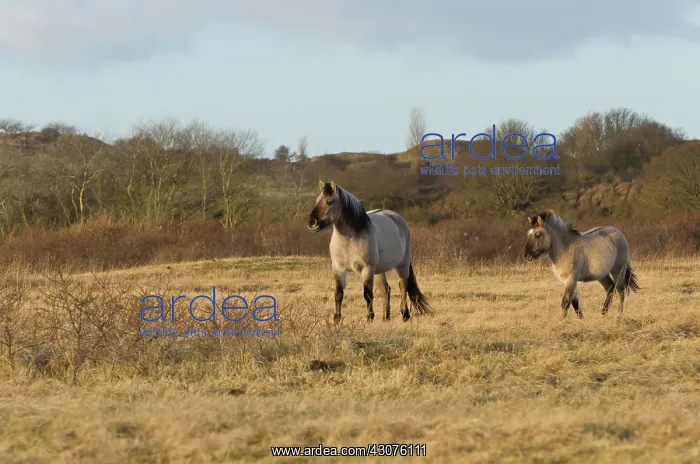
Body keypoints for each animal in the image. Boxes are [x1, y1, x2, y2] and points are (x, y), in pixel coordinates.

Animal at [307, 180, 432, 323]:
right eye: (317, 200)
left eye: (329, 201)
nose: (312, 223)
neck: (350, 240)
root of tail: (397, 218)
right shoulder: (338, 269)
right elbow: (338, 294)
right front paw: (337, 319)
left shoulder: (366, 269)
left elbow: (367, 294)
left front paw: (369, 318)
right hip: (379, 270)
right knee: (386, 289)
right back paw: (385, 318)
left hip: (402, 265)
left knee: (402, 286)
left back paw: (405, 314)